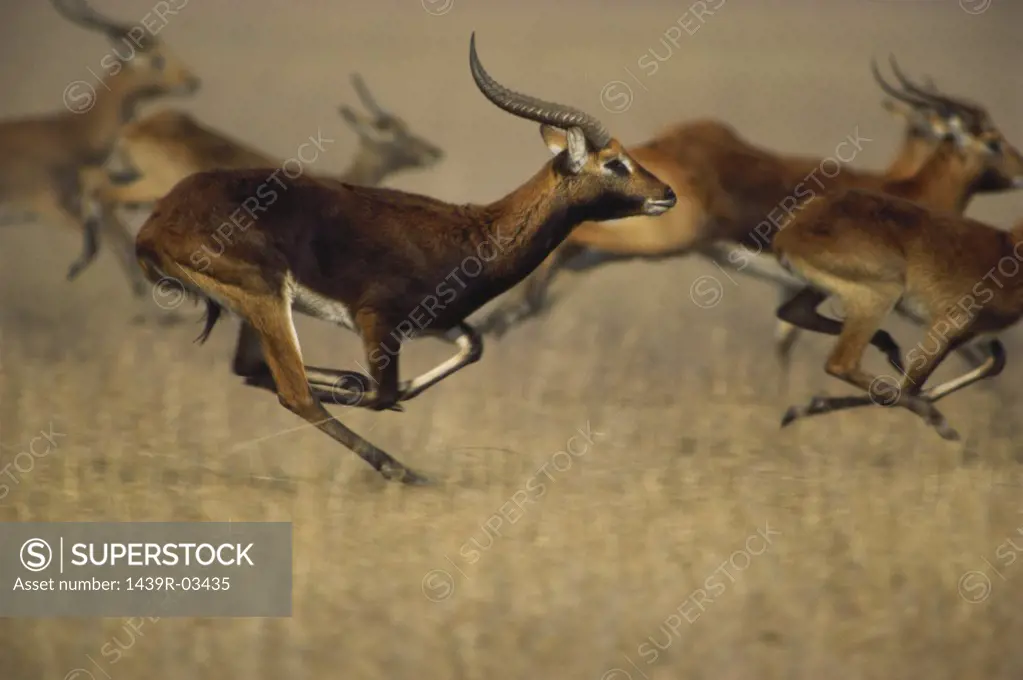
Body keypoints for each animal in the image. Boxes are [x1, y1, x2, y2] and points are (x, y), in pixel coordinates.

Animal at [75, 71, 443, 300]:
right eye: (392, 131)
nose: (434, 151)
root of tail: (136, 128)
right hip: (152, 186)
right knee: (103, 196)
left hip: (132, 177)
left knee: (94, 185)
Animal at [134, 34, 679, 482]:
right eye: (614, 163)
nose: (667, 194)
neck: (475, 231)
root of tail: (157, 221)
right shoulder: (377, 320)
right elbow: (383, 393)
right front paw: (363, 393)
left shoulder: (434, 320)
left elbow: (471, 347)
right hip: (266, 297)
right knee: (294, 391)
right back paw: (405, 470)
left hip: (256, 307)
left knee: (250, 368)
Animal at [482, 60, 1023, 366]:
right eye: (992, 140)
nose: (1019, 169)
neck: (908, 188)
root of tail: (663, 144)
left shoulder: (797, 289)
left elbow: (784, 343)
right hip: (661, 239)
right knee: (572, 239)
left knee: (564, 258)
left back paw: (503, 318)